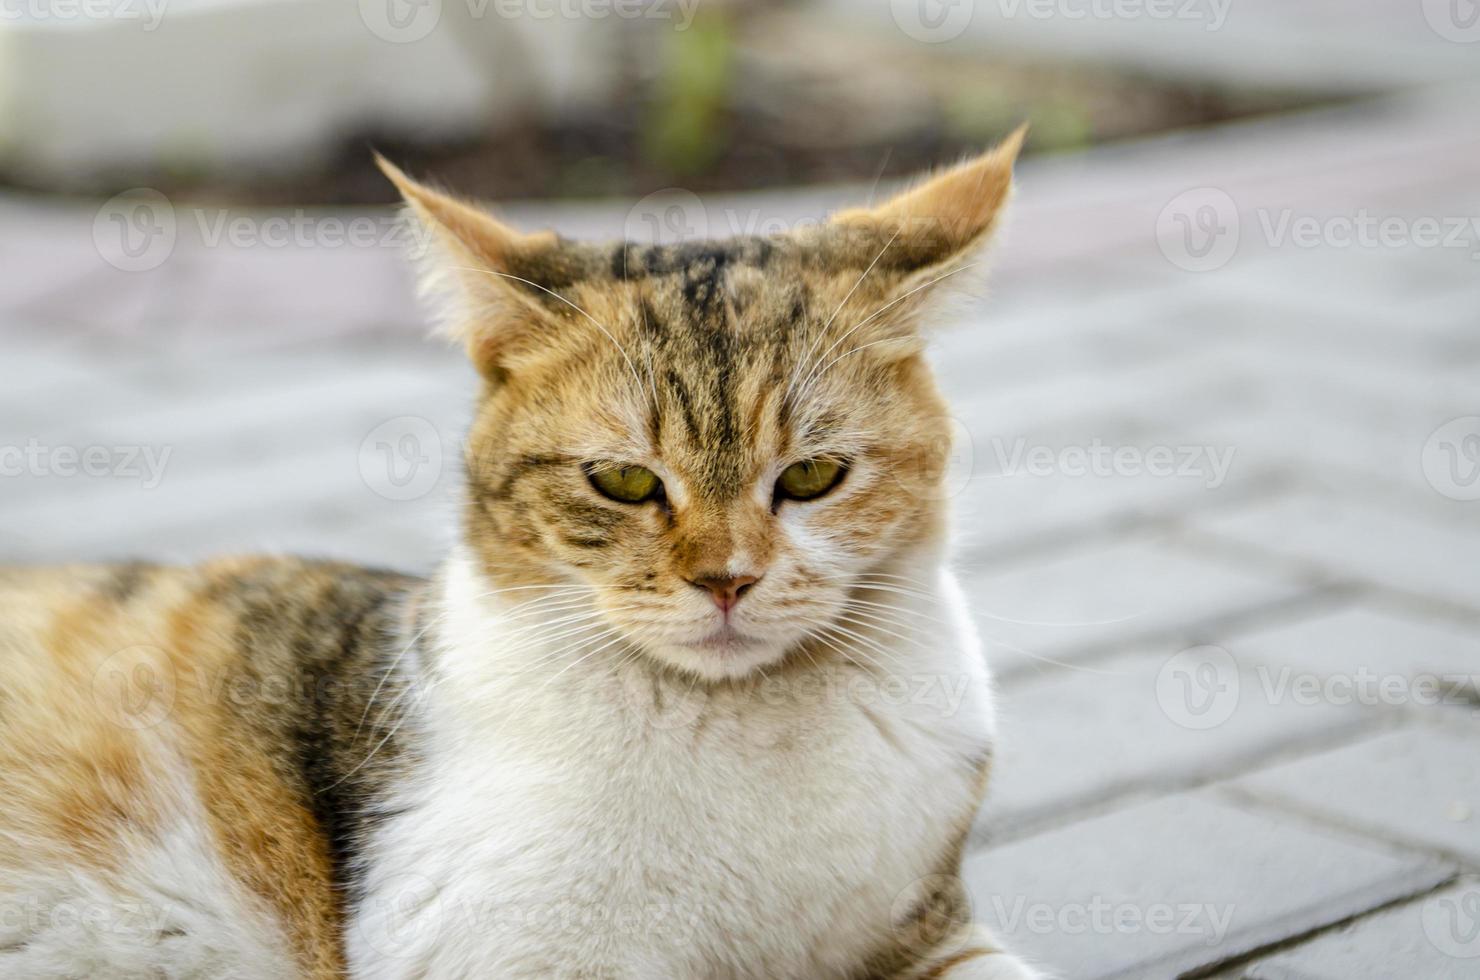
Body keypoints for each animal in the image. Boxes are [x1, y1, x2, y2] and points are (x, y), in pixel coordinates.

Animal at [0, 126, 1041, 977]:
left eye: (815, 475)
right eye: (622, 482)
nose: (726, 581)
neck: (743, 731)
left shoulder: (928, 935)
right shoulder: (492, 945)